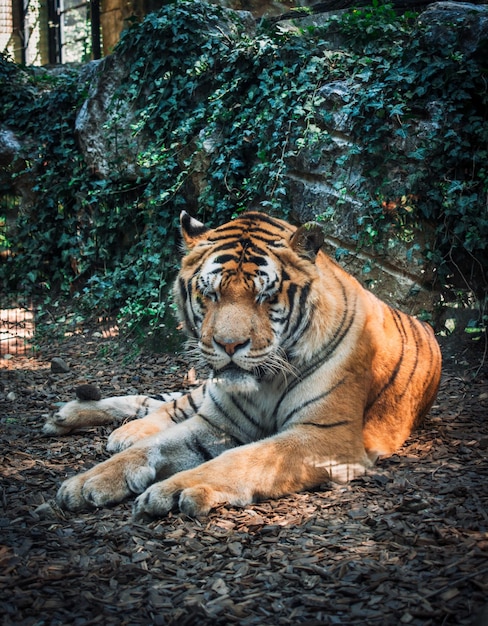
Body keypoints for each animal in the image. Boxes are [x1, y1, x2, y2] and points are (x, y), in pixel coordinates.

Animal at [48, 210, 442, 516]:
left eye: (265, 296)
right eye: (210, 293)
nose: (229, 344)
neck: (266, 382)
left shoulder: (324, 436)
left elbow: (238, 459)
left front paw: (175, 489)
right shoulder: (215, 422)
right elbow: (153, 447)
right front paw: (87, 481)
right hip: (203, 393)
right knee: (164, 404)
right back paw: (81, 420)